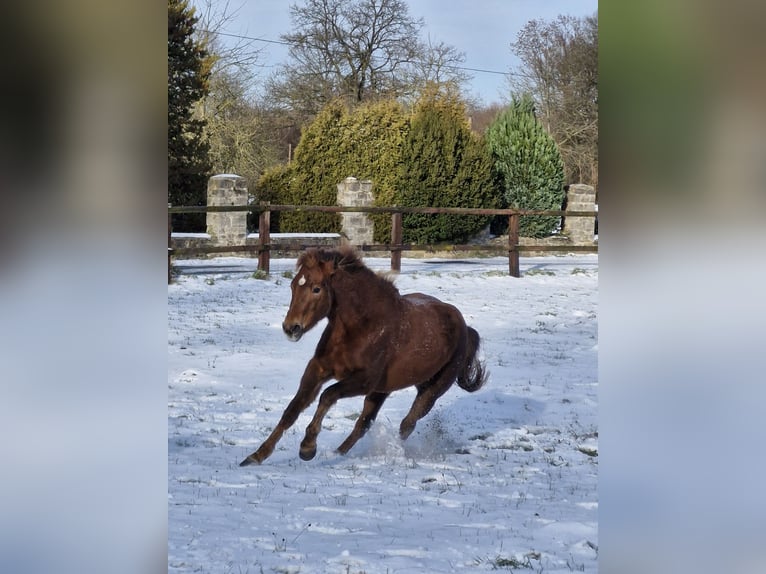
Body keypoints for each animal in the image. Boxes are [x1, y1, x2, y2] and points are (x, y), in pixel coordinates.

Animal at [239, 246, 488, 466]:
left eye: (316, 289)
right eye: (293, 285)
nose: (291, 328)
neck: (361, 327)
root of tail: (465, 327)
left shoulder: (364, 381)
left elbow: (328, 395)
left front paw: (307, 447)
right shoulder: (318, 369)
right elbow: (293, 409)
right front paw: (256, 456)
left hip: (431, 390)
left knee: (407, 423)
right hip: (382, 391)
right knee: (363, 424)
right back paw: (336, 453)